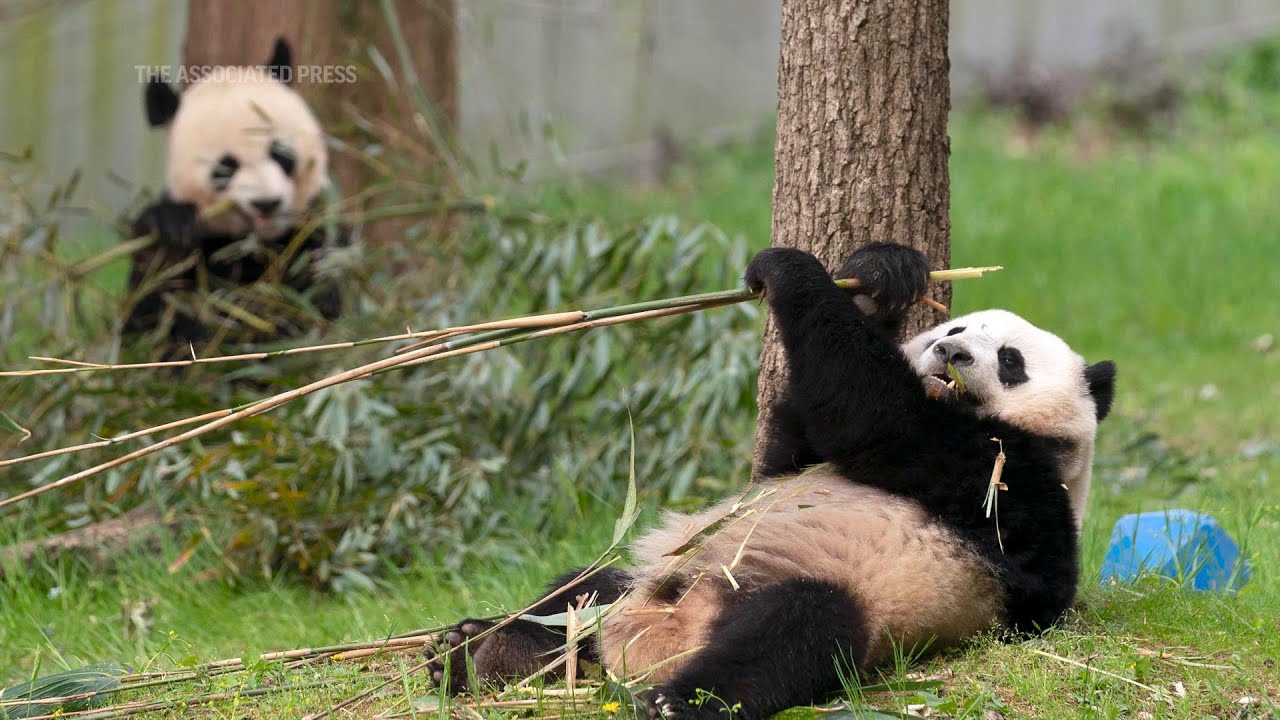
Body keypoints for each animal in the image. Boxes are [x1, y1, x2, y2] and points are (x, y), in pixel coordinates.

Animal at [123, 37, 350, 351]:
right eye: (225, 167)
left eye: (280, 153)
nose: (266, 204)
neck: (253, 245)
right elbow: (151, 313)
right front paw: (172, 227)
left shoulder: (316, 228)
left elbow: (320, 299)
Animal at [427, 242, 1111, 717]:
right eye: (953, 329)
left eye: (1011, 360)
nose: (952, 354)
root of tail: (644, 648)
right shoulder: (794, 459)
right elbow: (786, 451)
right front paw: (881, 274)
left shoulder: (1008, 477)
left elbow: (875, 416)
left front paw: (788, 268)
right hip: (645, 581)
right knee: (580, 592)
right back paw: (476, 650)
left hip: (849, 599)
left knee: (793, 630)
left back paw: (674, 700)